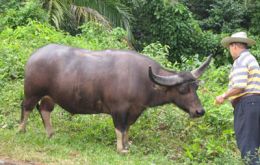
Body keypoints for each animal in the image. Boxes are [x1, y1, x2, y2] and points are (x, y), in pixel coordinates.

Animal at [19, 43, 212, 153]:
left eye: (196, 87)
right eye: (182, 89)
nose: (199, 111)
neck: (143, 80)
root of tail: (34, 56)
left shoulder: (134, 110)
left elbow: (127, 129)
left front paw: (127, 145)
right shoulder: (118, 109)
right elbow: (120, 129)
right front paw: (120, 149)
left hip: (50, 96)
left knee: (44, 110)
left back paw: (51, 134)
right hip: (32, 92)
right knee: (26, 107)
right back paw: (21, 130)